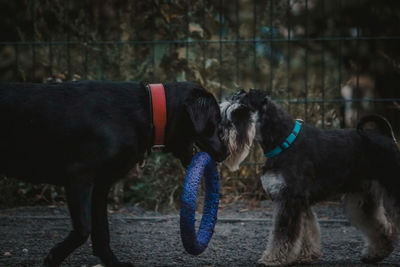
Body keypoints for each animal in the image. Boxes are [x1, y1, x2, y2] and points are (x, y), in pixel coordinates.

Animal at [0, 80, 228, 266]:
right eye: (216, 121)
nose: (226, 152)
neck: (149, 111)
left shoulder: (101, 186)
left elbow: (102, 232)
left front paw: (112, 262)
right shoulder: (79, 177)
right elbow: (84, 228)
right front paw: (54, 257)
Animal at [220, 89, 400, 266]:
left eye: (240, 112)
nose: (221, 135)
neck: (283, 141)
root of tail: (387, 136)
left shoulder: (289, 199)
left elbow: (283, 234)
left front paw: (273, 258)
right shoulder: (299, 201)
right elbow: (306, 229)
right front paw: (305, 255)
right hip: (362, 198)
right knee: (380, 225)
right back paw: (375, 254)